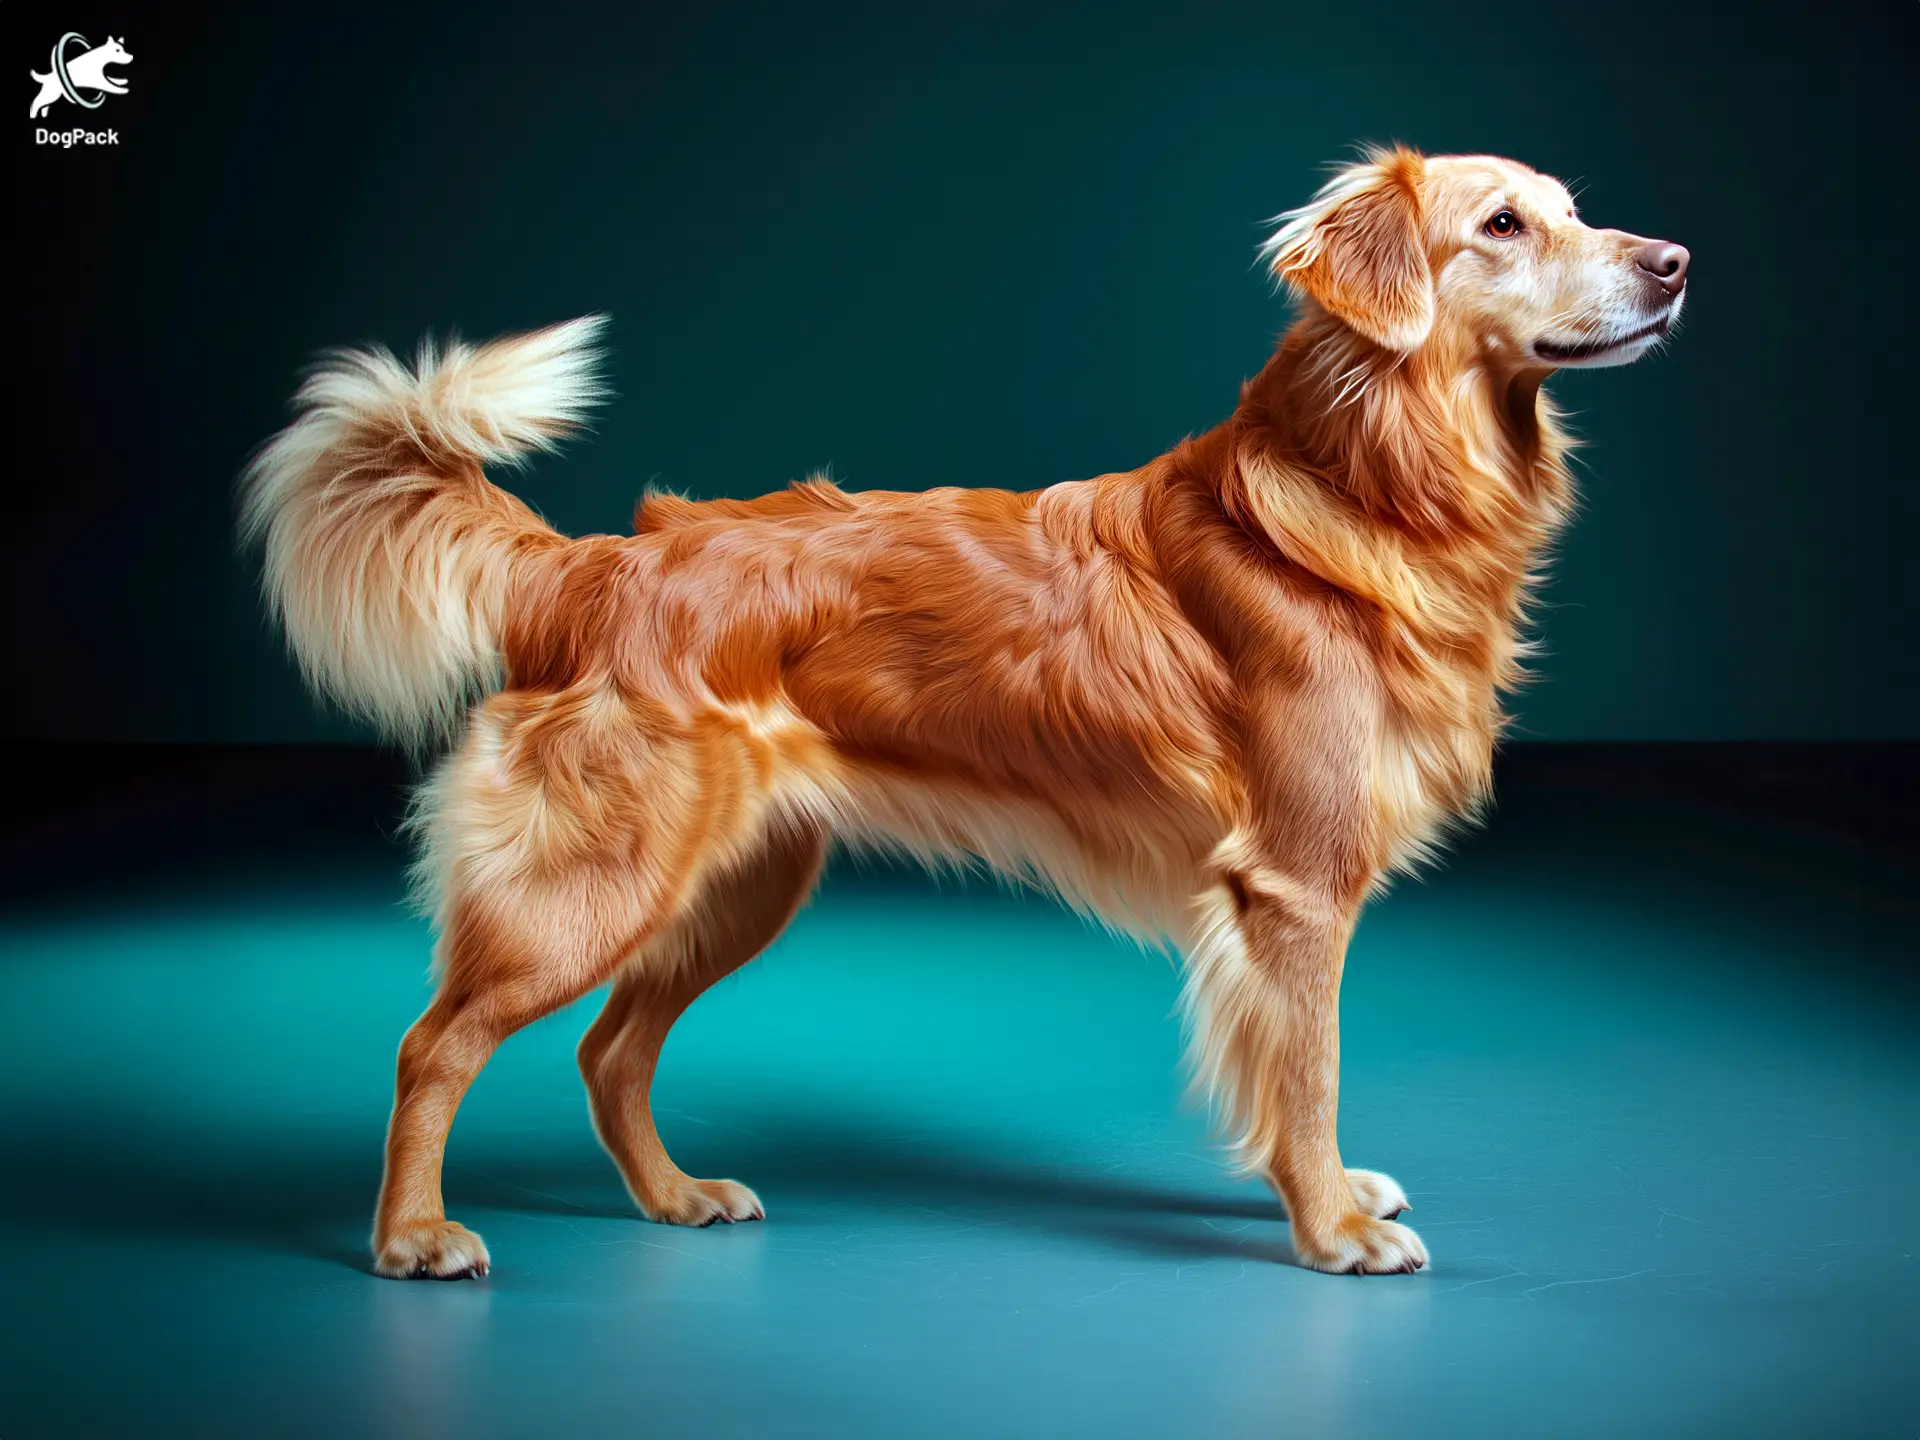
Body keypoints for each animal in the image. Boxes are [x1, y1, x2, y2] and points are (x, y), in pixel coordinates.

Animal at [243, 146, 1697, 1282]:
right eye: (1502, 226)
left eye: (1570, 209)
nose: (1678, 261)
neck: (1369, 481)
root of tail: (597, 562)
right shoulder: (1294, 884)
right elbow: (1312, 1066)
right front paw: (1333, 1227)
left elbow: (1285, 1075)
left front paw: (1322, 1193)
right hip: (598, 880)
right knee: (432, 1046)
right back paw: (413, 1237)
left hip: (737, 882)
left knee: (610, 1051)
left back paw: (674, 1199)